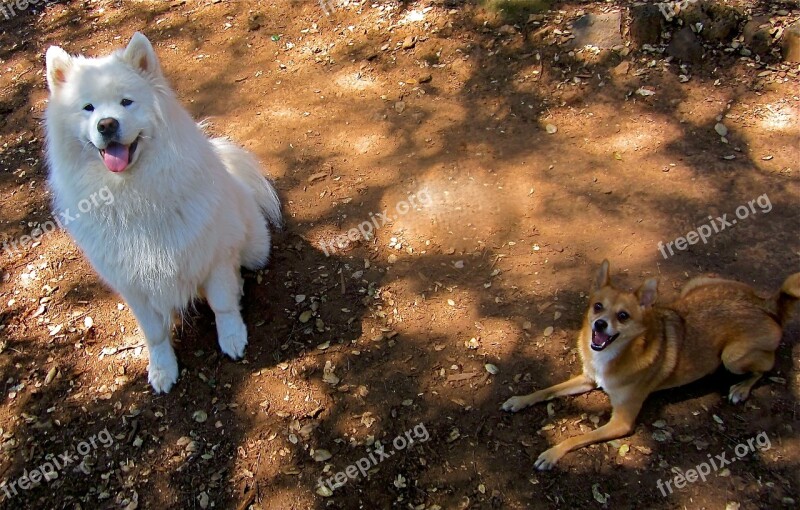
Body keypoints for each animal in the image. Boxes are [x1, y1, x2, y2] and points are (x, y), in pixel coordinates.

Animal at [44, 31, 282, 392]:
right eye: (88, 108)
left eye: (127, 102)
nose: (107, 124)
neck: (133, 193)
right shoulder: (132, 285)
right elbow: (154, 334)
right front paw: (162, 369)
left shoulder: (213, 256)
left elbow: (223, 305)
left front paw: (232, 337)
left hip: (254, 249)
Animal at [504, 262, 796, 470]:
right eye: (598, 306)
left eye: (623, 316)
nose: (600, 324)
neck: (614, 355)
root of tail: (764, 304)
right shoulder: (588, 378)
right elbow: (546, 390)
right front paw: (519, 400)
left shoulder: (621, 422)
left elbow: (577, 437)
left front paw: (552, 453)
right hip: (697, 284)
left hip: (731, 357)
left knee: (767, 365)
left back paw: (741, 388)